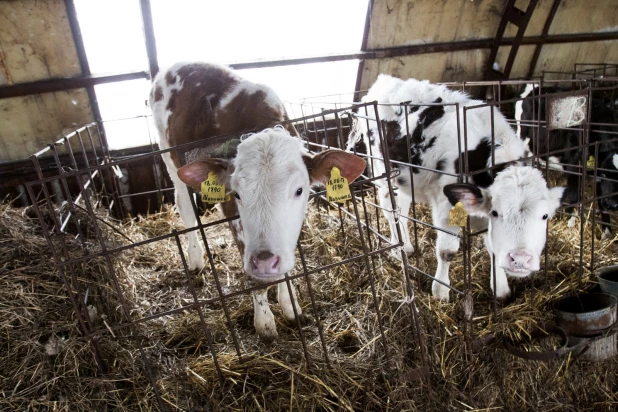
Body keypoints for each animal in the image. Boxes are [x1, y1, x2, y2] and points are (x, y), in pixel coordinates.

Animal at [149, 62, 364, 340]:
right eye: (237, 193)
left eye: (299, 190)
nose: (264, 261)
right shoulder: (235, 216)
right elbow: (255, 279)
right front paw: (265, 323)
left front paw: (291, 306)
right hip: (168, 157)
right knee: (185, 208)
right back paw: (196, 259)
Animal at [346, 75, 564, 300]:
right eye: (497, 212)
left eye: (545, 216)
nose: (520, 259)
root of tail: (384, 81)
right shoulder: (446, 204)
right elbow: (447, 251)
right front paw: (440, 291)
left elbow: (493, 246)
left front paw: (501, 288)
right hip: (382, 173)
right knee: (391, 212)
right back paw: (399, 248)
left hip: (403, 180)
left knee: (402, 212)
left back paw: (405, 246)